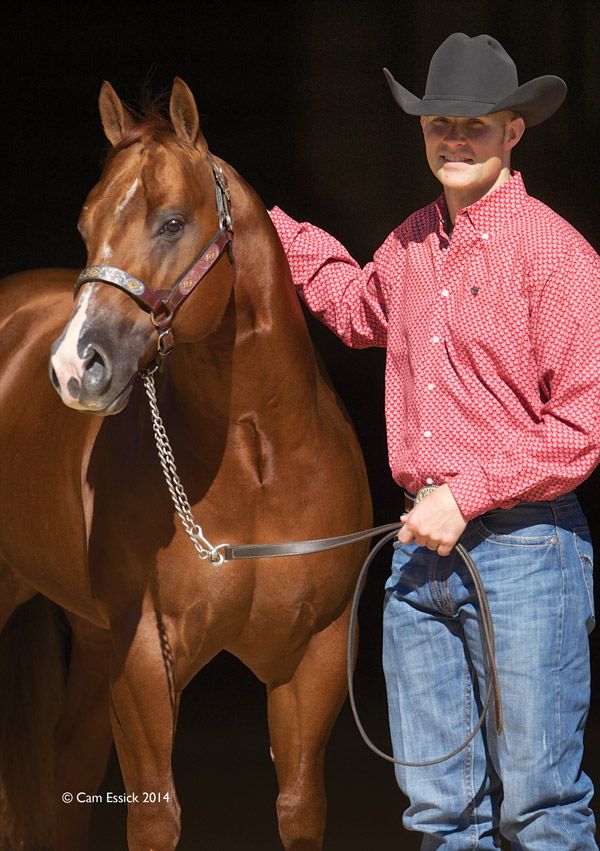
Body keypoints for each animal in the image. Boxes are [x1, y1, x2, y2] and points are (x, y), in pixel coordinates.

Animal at [0, 76, 370, 848]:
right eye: (85, 224)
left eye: (171, 222)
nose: (73, 368)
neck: (259, 461)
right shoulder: (142, 654)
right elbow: (155, 816)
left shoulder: (314, 656)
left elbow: (299, 807)